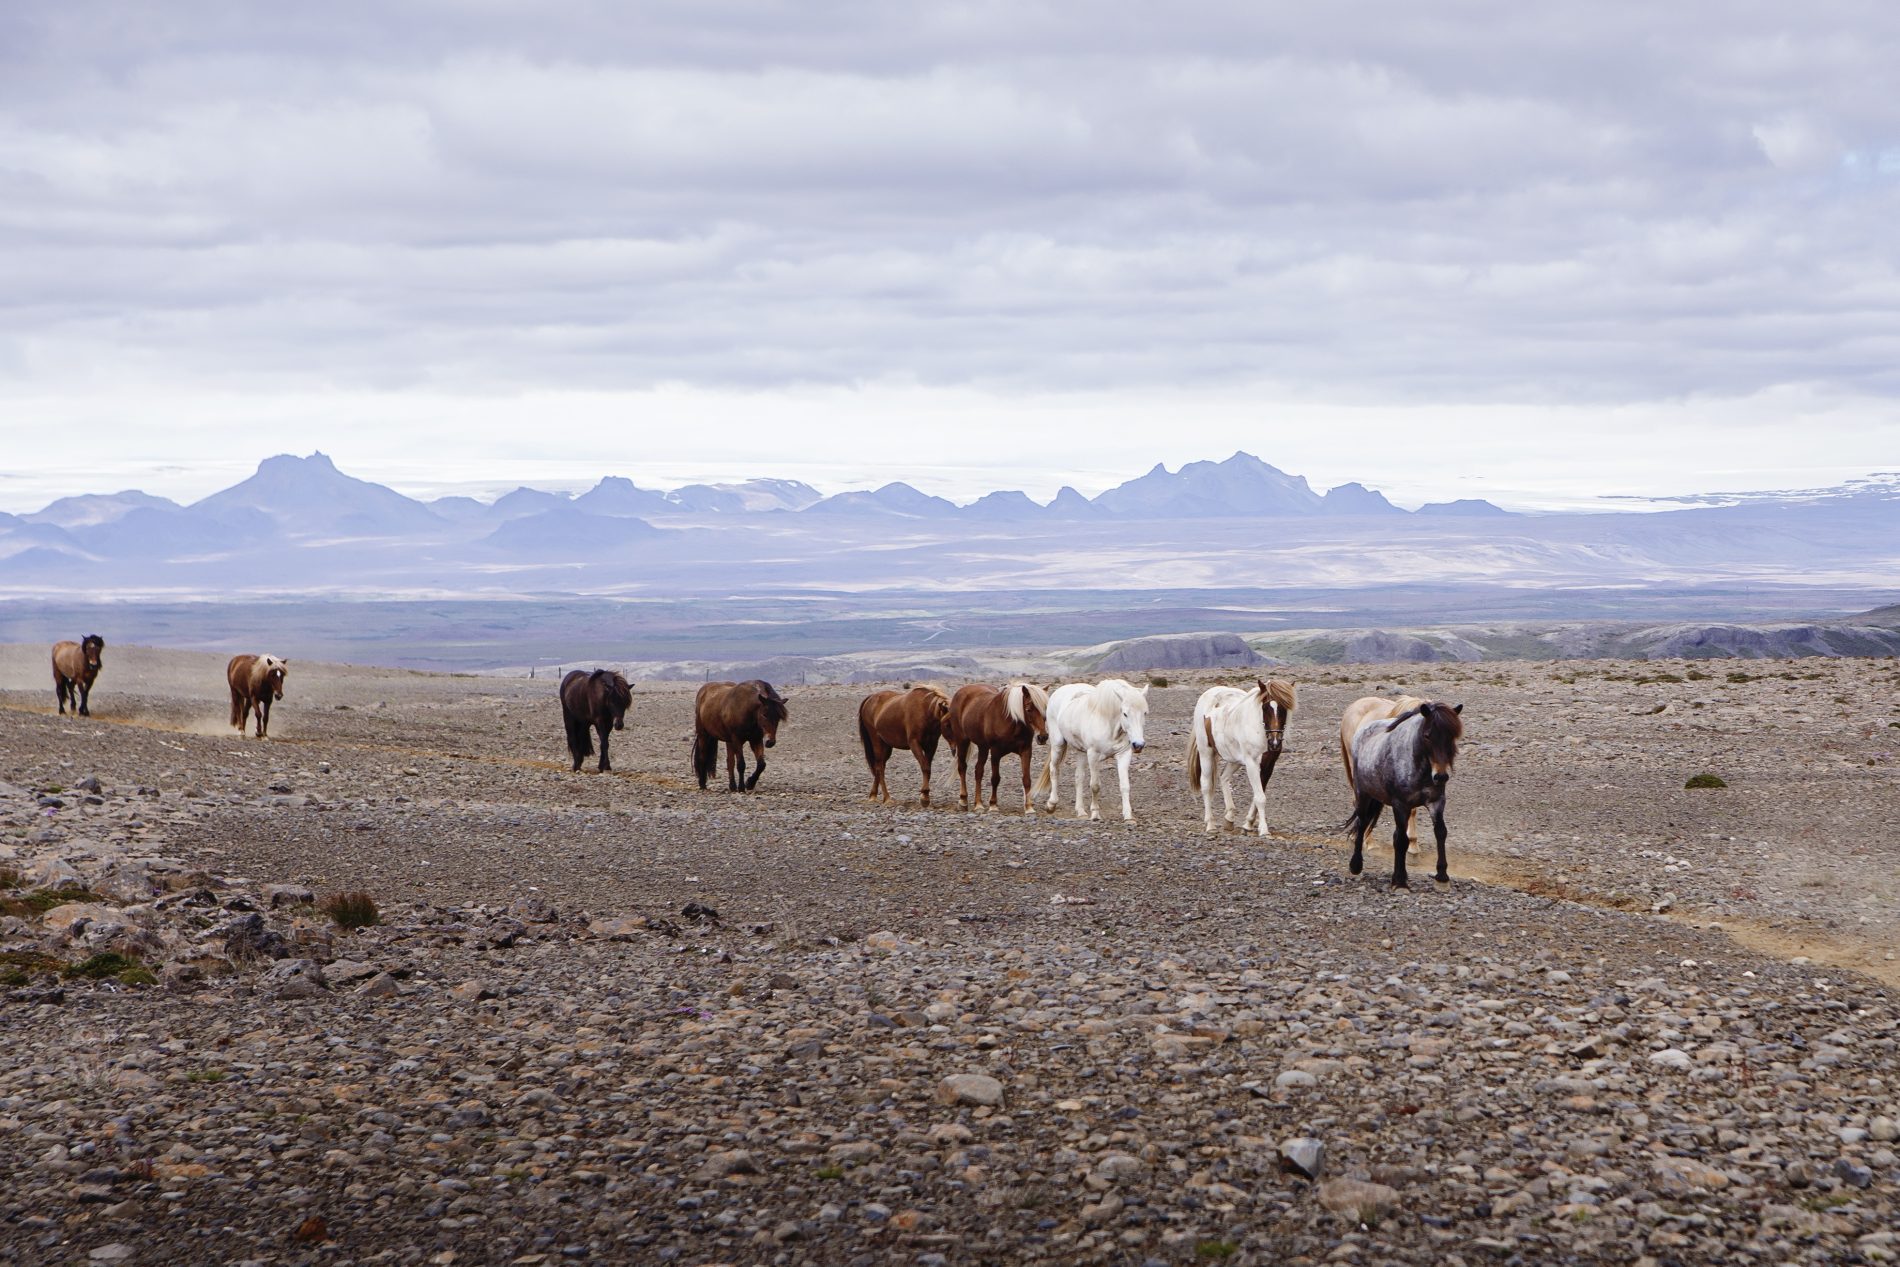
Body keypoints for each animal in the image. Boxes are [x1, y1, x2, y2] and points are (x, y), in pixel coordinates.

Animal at [944, 682, 1049, 814]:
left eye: (1045, 709)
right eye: (1028, 709)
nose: (1042, 737)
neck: (1011, 721)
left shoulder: (1026, 751)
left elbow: (1026, 779)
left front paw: (1029, 807)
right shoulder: (995, 752)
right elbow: (995, 778)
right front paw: (993, 805)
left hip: (983, 747)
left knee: (978, 771)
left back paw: (978, 804)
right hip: (962, 741)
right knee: (962, 767)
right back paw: (963, 801)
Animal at [1033, 678, 1150, 821]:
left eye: (1145, 713)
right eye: (1125, 713)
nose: (1138, 744)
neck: (1108, 724)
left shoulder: (1123, 755)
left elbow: (1125, 786)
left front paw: (1128, 816)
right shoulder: (1093, 755)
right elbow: (1095, 786)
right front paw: (1095, 814)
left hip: (1081, 752)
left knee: (1079, 777)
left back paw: (1080, 811)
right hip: (1058, 744)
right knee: (1054, 770)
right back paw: (1051, 804)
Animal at [1186, 678, 1296, 836]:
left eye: (1284, 708)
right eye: (1265, 707)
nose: (1274, 742)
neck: (1259, 730)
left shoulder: (1268, 765)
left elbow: (1258, 795)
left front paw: (1248, 823)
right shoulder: (1251, 763)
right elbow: (1260, 797)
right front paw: (1264, 829)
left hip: (1234, 760)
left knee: (1224, 777)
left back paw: (1229, 817)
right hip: (1205, 752)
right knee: (1206, 785)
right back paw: (1210, 825)